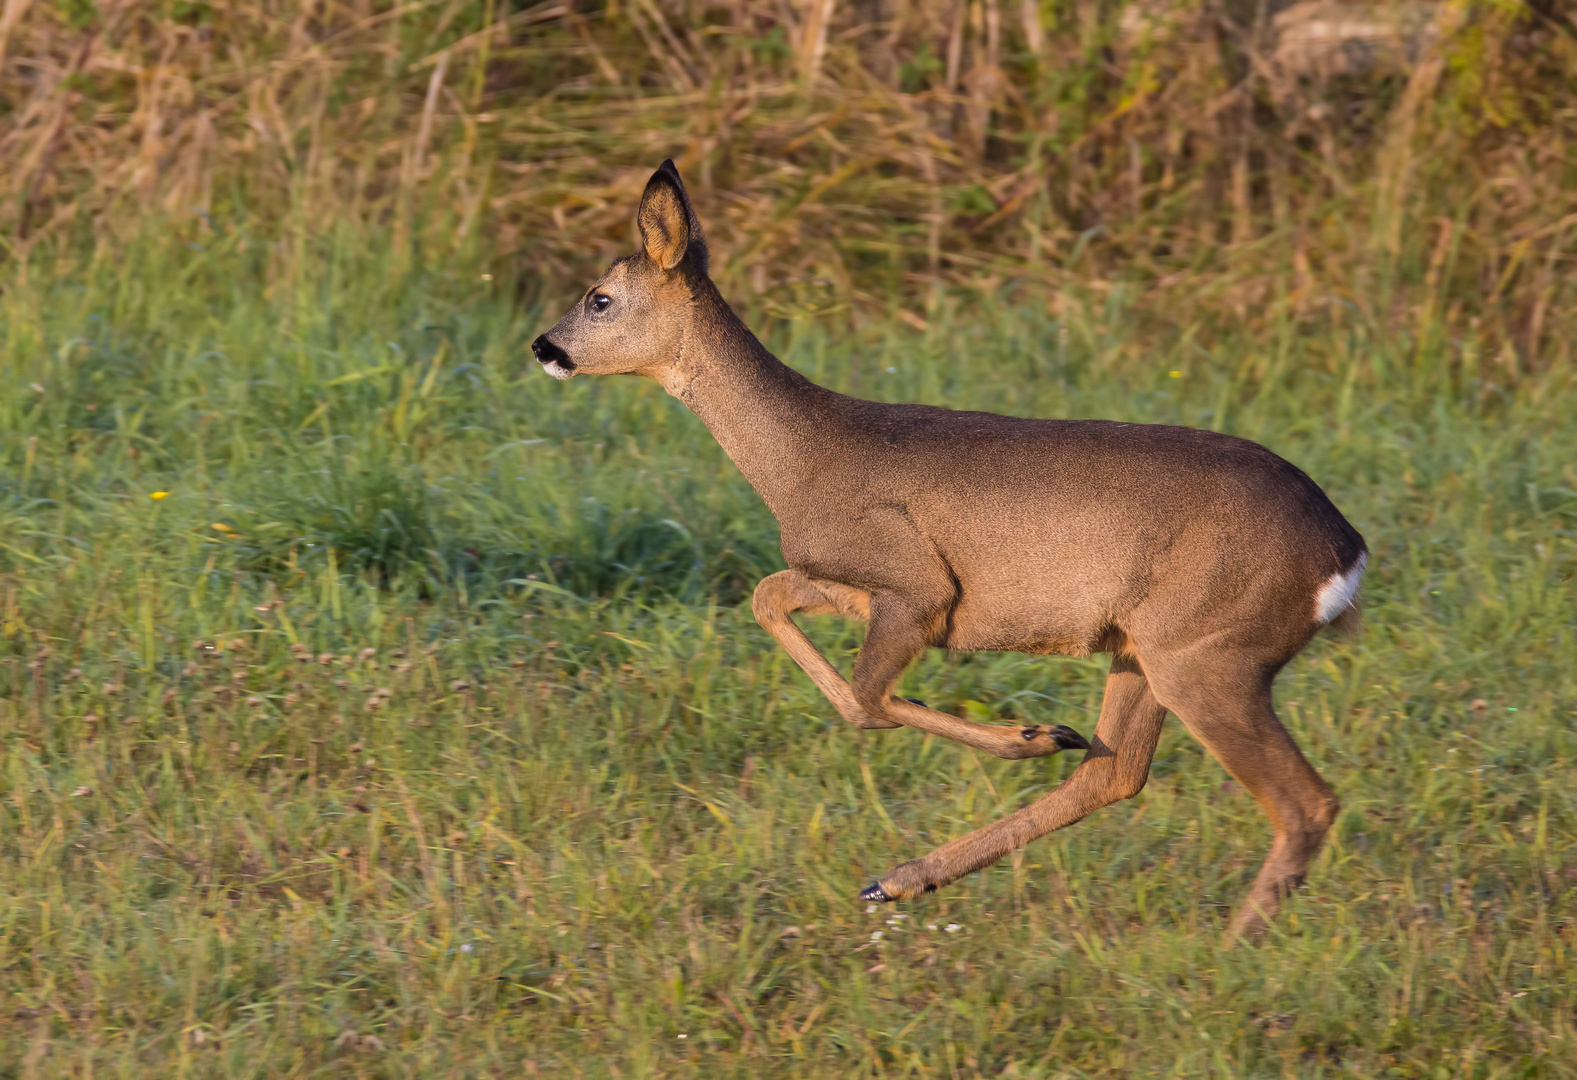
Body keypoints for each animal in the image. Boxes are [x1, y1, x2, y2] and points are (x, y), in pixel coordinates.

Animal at [531, 160, 1368, 940]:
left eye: (599, 297)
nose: (543, 346)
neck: (803, 459)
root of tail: (1344, 551)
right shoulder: (853, 582)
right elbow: (772, 599)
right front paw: (1037, 734)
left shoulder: (916, 584)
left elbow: (868, 697)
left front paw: (1026, 735)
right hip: (1144, 649)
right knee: (1114, 774)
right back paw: (903, 877)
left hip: (1207, 648)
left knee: (1305, 801)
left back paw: (1231, 941)